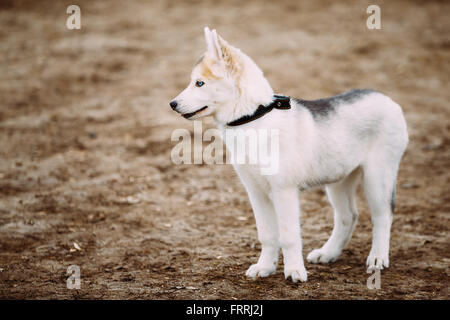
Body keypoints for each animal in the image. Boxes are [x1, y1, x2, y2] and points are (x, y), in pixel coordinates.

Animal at [169, 27, 408, 282]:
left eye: (200, 83)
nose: (172, 104)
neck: (254, 118)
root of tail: (385, 98)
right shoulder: (256, 192)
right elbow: (267, 234)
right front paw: (265, 267)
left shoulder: (284, 191)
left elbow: (288, 236)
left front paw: (294, 271)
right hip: (339, 180)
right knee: (348, 216)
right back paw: (328, 253)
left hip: (378, 177)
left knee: (383, 216)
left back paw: (378, 257)